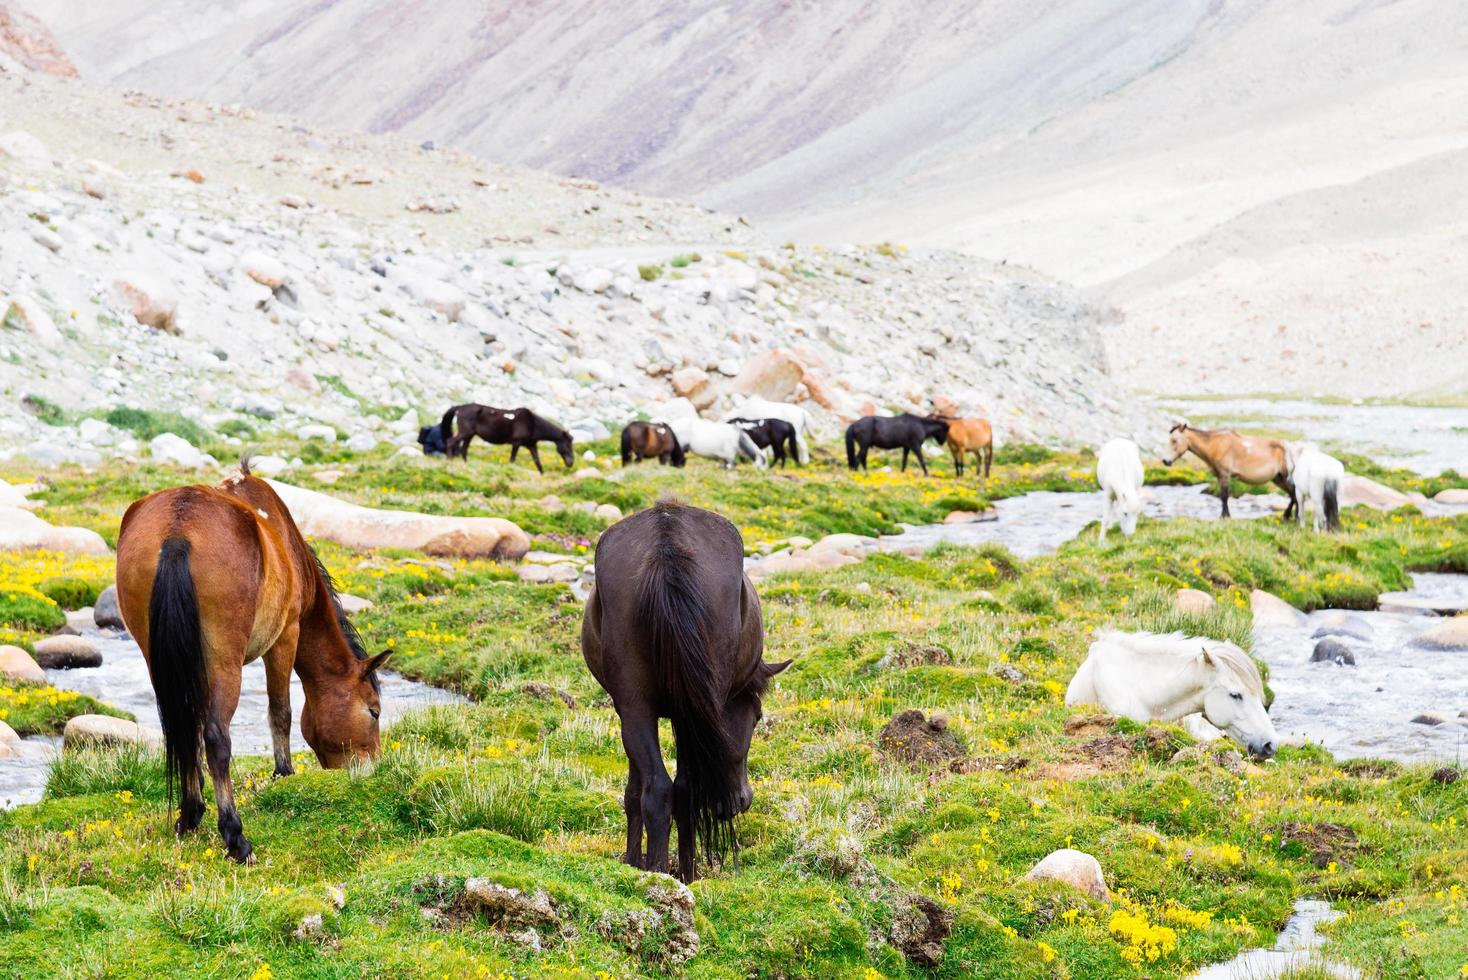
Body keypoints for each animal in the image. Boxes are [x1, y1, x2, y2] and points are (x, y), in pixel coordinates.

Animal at [115, 457, 390, 856]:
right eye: (373, 711)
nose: (372, 769)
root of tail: (178, 533)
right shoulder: (285, 637)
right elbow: (281, 713)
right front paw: (284, 774)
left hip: (159, 660)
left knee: (179, 727)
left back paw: (189, 814)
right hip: (224, 663)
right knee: (218, 738)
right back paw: (234, 836)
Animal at [434, 399, 572, 472]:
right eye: (568, 445)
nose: (571, 463)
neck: (533, 424)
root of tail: (460, 407)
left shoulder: (531, 445)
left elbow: (537, 462)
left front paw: (542, 475)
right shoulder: (517, 443)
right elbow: (512, 459)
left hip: (470, 435)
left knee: (464, 449)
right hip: (465, 432)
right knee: (451, 442)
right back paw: (449, 460)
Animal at [584, 501, 792, 886]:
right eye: (757, 717)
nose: (741, 800)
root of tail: (667, 543)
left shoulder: (631, 711)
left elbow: (637, 790)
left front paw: (638, 862)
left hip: (644, 707)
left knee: (664, 789)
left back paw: (659, 870)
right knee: (679, 789)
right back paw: (679, 872)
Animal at [1156, 425, 1297, 525]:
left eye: (1174, 440)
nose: (1165, 461)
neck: (1215, 445)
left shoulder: (1225, 475)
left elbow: (1224, 496)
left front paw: (1225, 517)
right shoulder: (1219, 476)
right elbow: (1222, 497)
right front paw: (1225, 516)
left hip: (1285, 478)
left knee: (1295, 494)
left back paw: (1292, 517)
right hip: (1278, 479)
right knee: (1292, 494)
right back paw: (1288, 516)